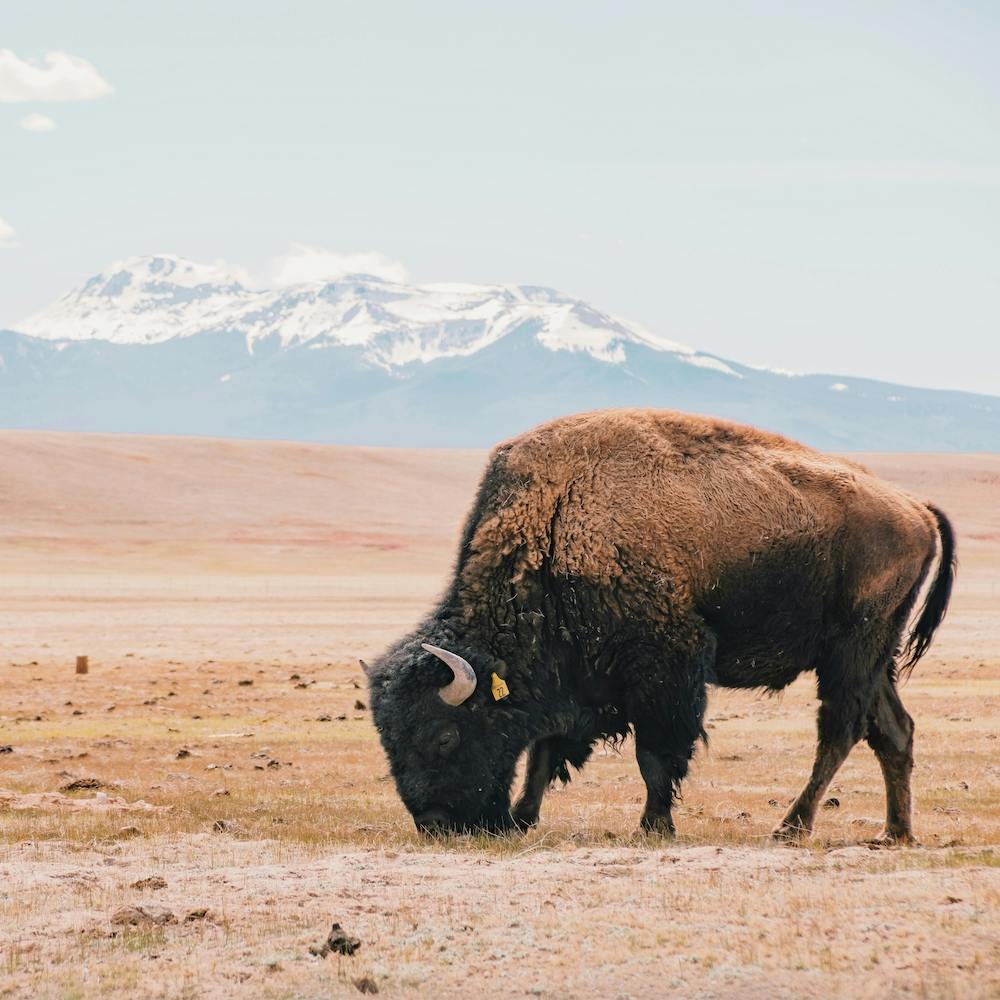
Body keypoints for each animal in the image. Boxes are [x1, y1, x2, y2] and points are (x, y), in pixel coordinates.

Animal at [366, 409, 955, 842]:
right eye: (388, 739)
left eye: (444, 736)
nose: (436, 825)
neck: (557, 523)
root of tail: (916, 509)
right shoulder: (578, 678)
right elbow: (545, 750)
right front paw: (522, 818)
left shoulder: (664, 671)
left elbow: (654, 754)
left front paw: (653, 826)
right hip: (876, 658)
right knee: (894, 731)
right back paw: (895, 833)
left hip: (852, 651)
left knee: (840, 730)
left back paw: (791, 826)